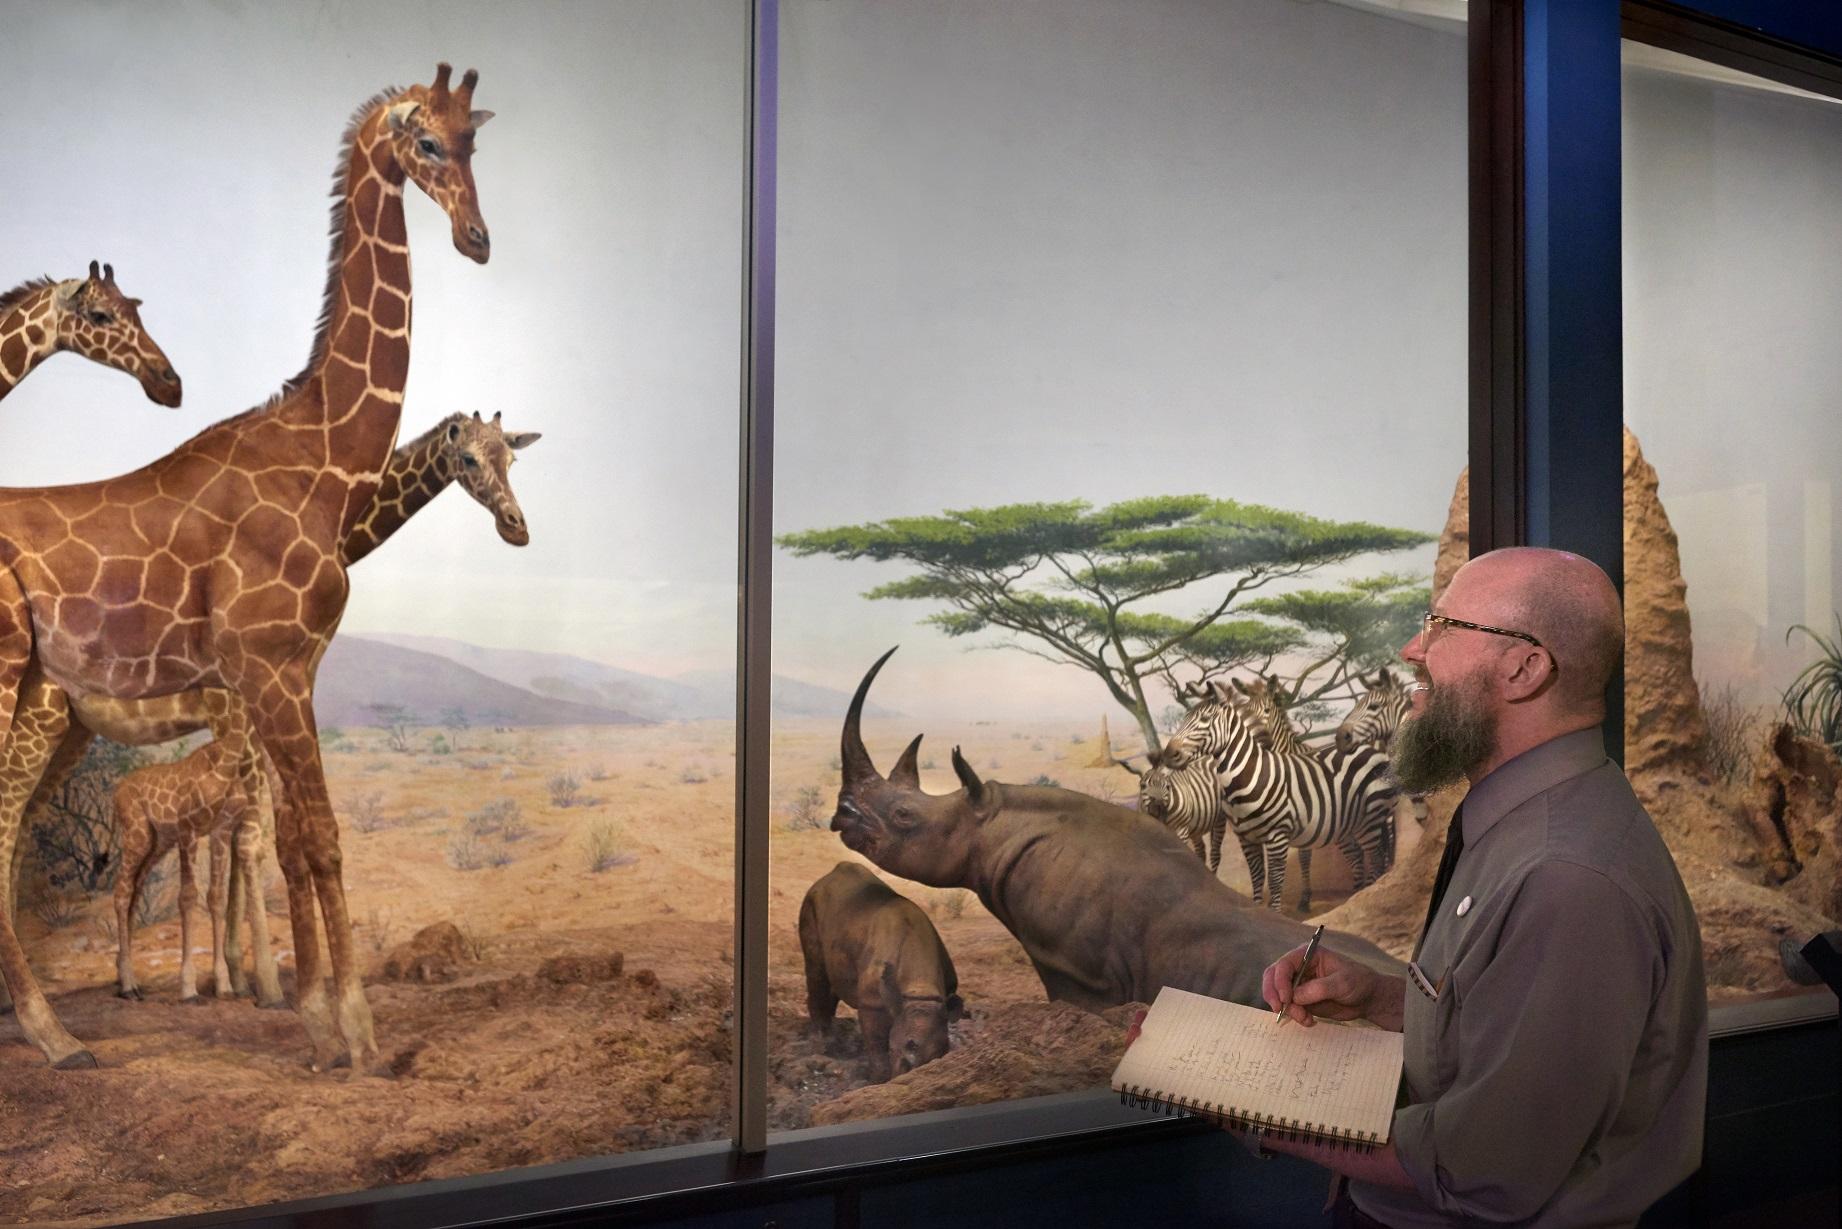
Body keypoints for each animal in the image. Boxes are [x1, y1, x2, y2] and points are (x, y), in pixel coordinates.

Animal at [1134, 681, 1392, 913]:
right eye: (1184, 718)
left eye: (1205, 719)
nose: (1168, 754)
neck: (1247, 779)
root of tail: (1371, 749)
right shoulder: (1247, 839)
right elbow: (1257, 878)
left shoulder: (1278, 837)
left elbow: (1276, 882)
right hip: (1345, 824)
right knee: (1358, 856)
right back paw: (1354, 896)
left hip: (1370, 819)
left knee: (1377, 858)